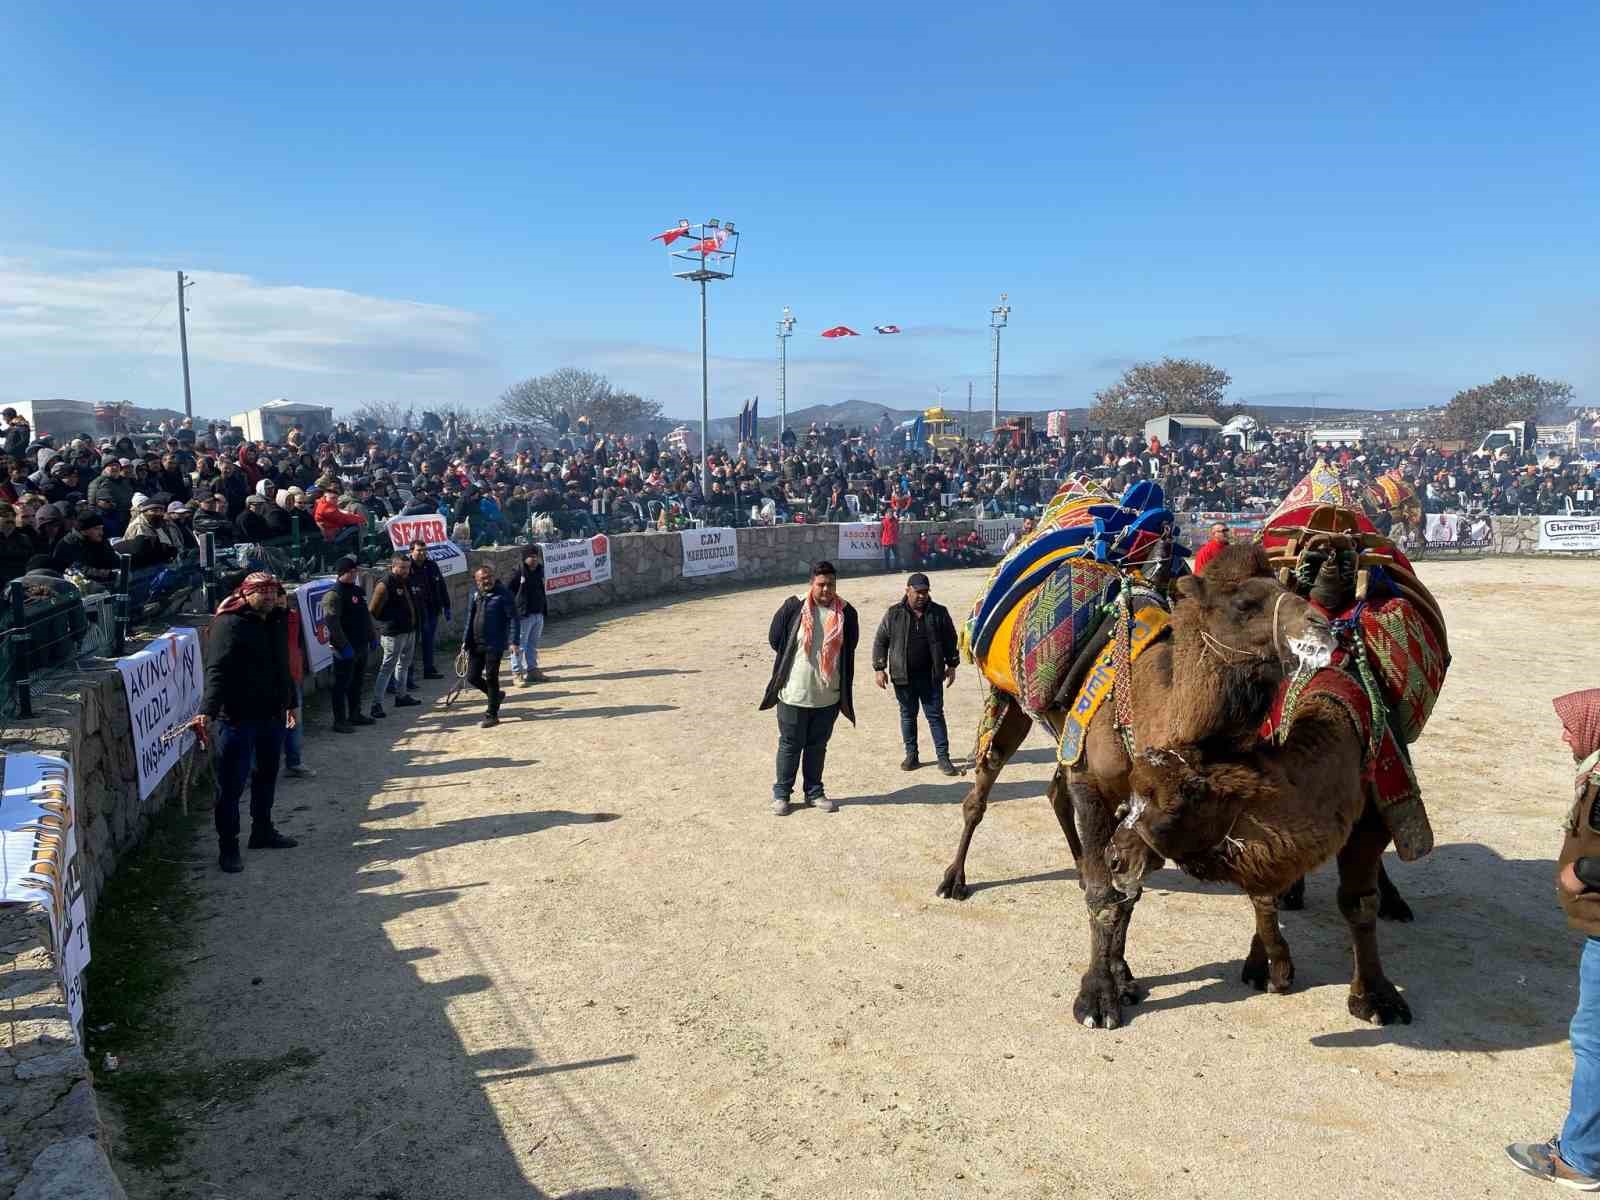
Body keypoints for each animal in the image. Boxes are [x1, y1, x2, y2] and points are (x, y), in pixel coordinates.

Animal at [934, 547, 1337, 1036]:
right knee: (981, 792)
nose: (1323, 626)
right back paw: (954, 880)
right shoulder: (1092, 783)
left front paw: (1121, 976)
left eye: (1288, 587)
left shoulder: (1150, 804)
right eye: (1244, 604)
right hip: (1008, 700)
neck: (1149, 707)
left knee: (1056, 794)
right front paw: (1095, 999)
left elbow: (1126, 894)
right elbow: (1103, 896)